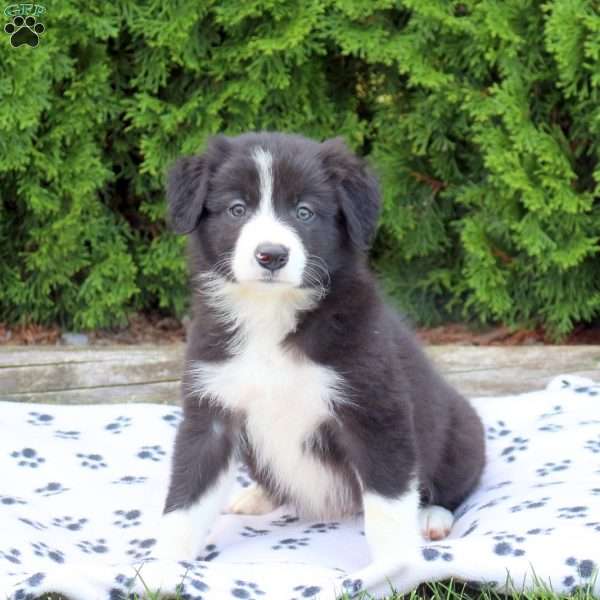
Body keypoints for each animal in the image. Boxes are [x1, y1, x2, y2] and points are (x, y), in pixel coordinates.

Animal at [157, 132, 486, 572]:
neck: (271, 315)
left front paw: (395, 567)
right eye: (237, 209)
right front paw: (159, 566)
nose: (271, 255)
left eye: (305, 212)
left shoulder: (374, 411)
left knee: (452, 485)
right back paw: (258, 496)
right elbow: (186, 496)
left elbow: (387, 504)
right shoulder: (211, 410)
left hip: (463, 431)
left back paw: (431, 517)